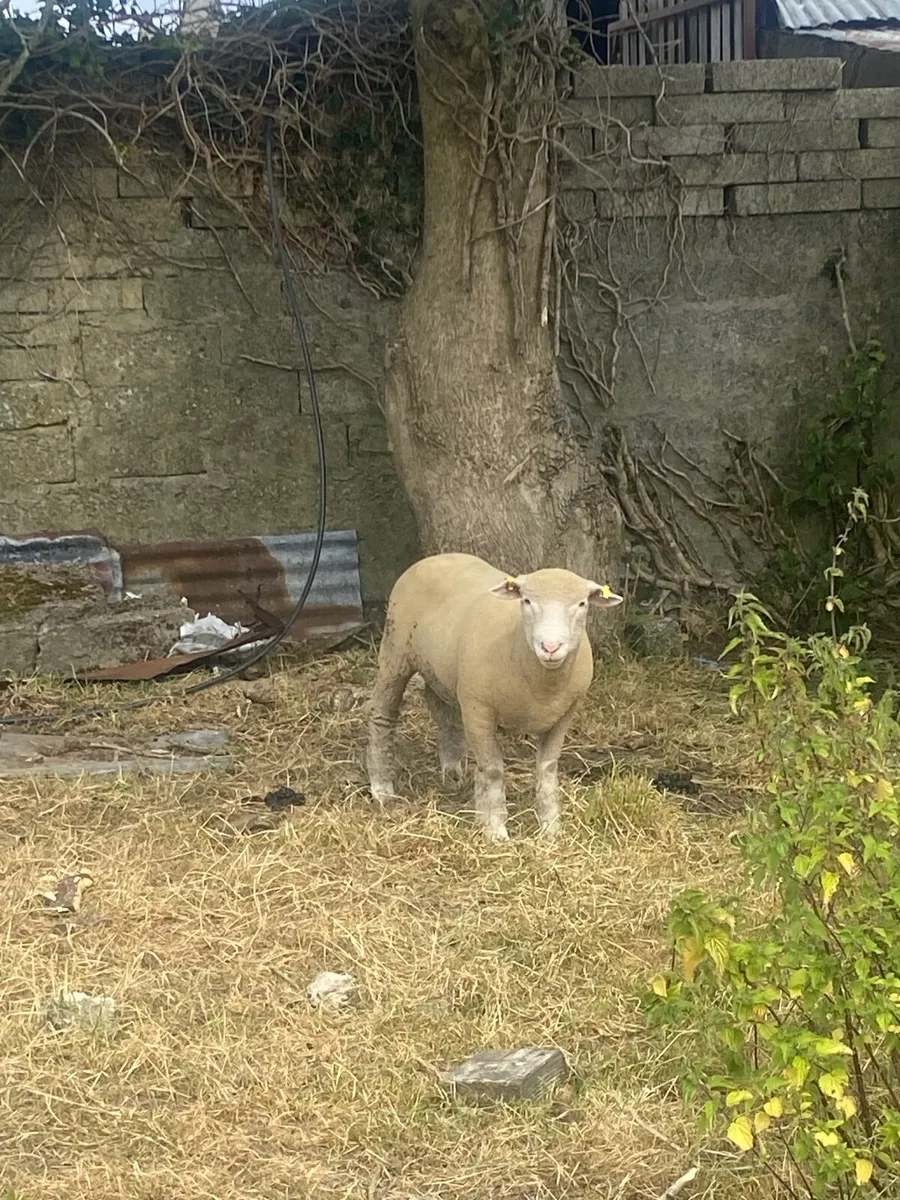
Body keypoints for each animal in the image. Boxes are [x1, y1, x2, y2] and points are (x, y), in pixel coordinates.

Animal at [366, 552, 623, 842]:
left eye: (581, 603)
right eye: (526, 600)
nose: (550, 647)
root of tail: (436, 557)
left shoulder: (564, 715)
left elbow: (546, 769)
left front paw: (550, 827)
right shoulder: (479, 710)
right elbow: (492, 770)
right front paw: (495, 828)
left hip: (443, 671)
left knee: (443, 710)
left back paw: (452, 769)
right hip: (395, 652)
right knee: (382, 714)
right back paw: (382, 787)